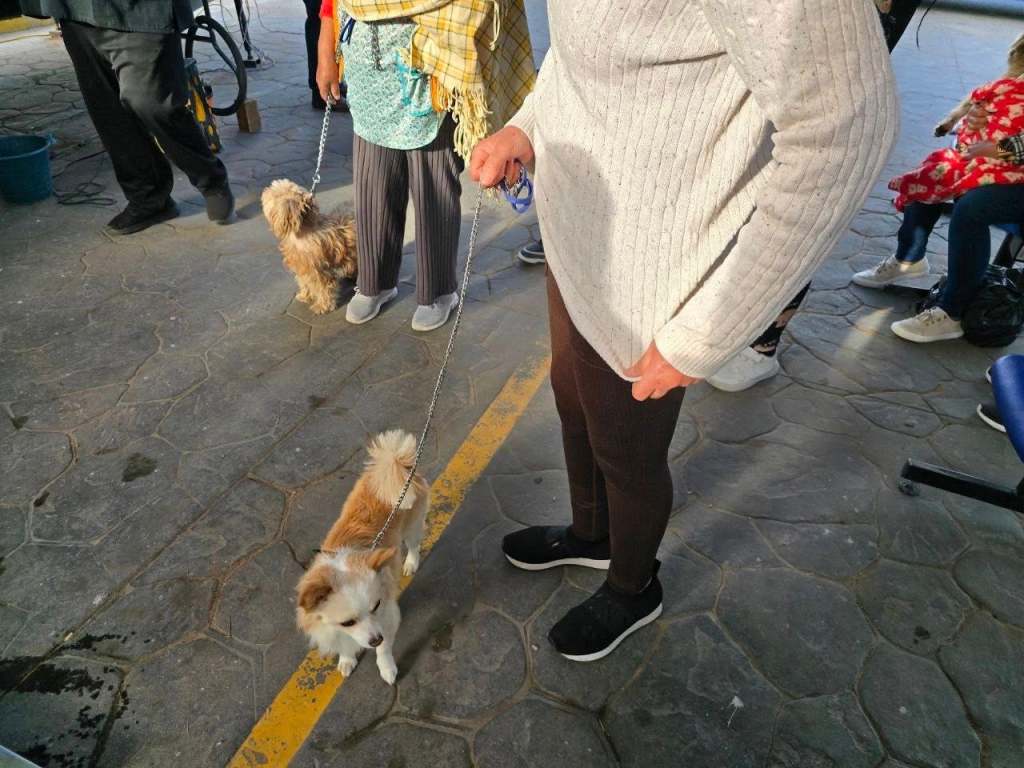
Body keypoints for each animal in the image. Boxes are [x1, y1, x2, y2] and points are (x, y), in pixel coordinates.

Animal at [261, 179, 358, 315]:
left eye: (274, 193)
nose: (264, 191)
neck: (301, 232)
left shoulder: (320, 270)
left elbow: (323, 288)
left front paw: (322, 306)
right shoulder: (303, 267)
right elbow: (304, 282)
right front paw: (305, 295)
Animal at [295, 430, 428, 685]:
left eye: (376, 606)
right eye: (348, 622)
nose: (375, 639)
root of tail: (395, 461)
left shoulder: (387, 616)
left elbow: (384, 650)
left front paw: (387, 668)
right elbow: (344, 645)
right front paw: (347, 659)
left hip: (413, 526)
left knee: (414, 545)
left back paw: (410, 563)